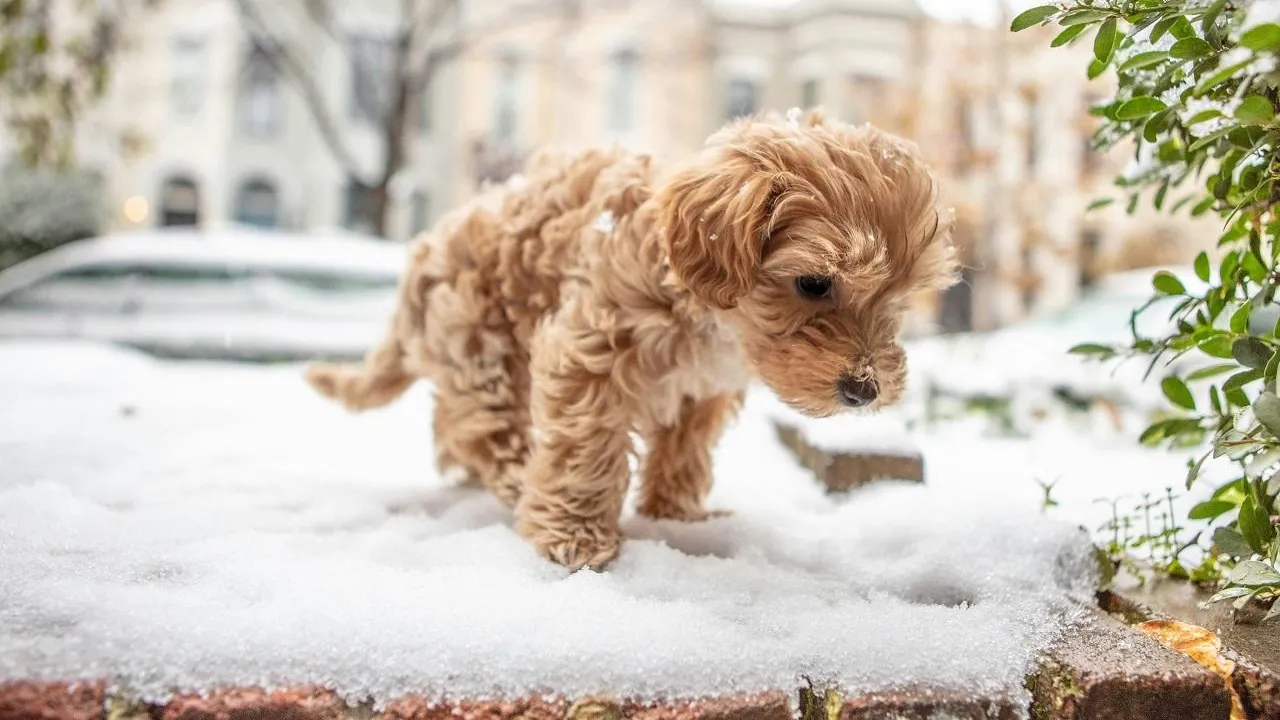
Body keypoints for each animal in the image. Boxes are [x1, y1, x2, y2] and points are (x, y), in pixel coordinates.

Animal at [304, 107, 957, 566]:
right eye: (815, 282)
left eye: (898, 298)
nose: (865, 391)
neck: (712, 318)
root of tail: (421, 255)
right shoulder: (589, 348)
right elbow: (585, 447)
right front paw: (574, 536)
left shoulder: (703, 389)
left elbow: (683, 449)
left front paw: (678, 515)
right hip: (476, 340)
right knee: (483, 425)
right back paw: (516, 479)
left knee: (455, 427)